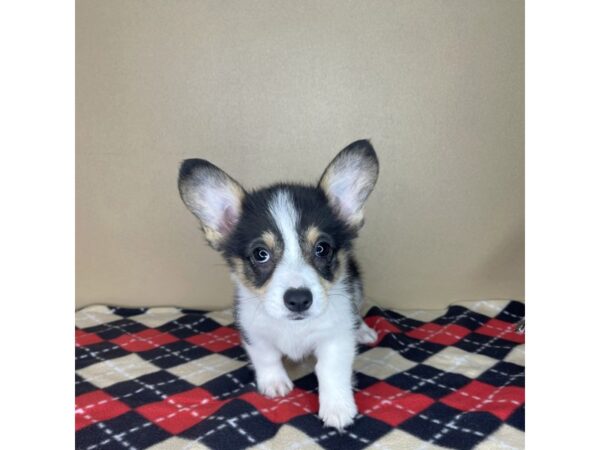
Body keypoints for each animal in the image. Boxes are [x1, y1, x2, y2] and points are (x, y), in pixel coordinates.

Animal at [176, 140, 380, 428]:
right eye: (261, 254)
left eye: (322, 248)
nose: (298, 299)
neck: (293, 327)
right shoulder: (253, 332)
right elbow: (266, 357)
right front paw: (274, 384)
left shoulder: (336, 337)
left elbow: (330, 370)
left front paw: (337, 408)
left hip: (357, 285)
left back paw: (363, 330)